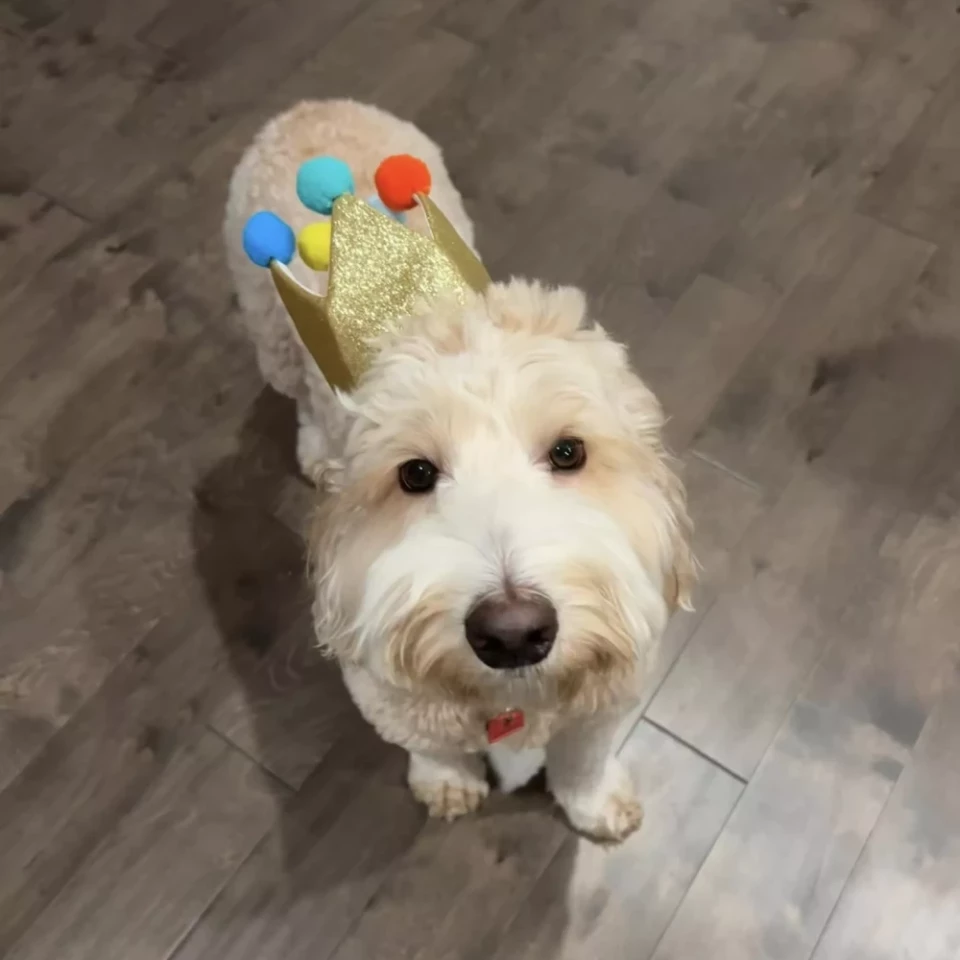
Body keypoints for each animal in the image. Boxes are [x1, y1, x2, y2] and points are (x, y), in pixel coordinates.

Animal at [225, 97, 692, 840]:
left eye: (569, 452)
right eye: (415, 473)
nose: (513, 631)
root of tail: (314, 108)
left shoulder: (606, 698)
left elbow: (585, 759)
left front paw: (594, 802)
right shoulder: (390, 692)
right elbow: (433, 746)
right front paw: (447, 783)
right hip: (268, 328)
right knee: (295, 391)